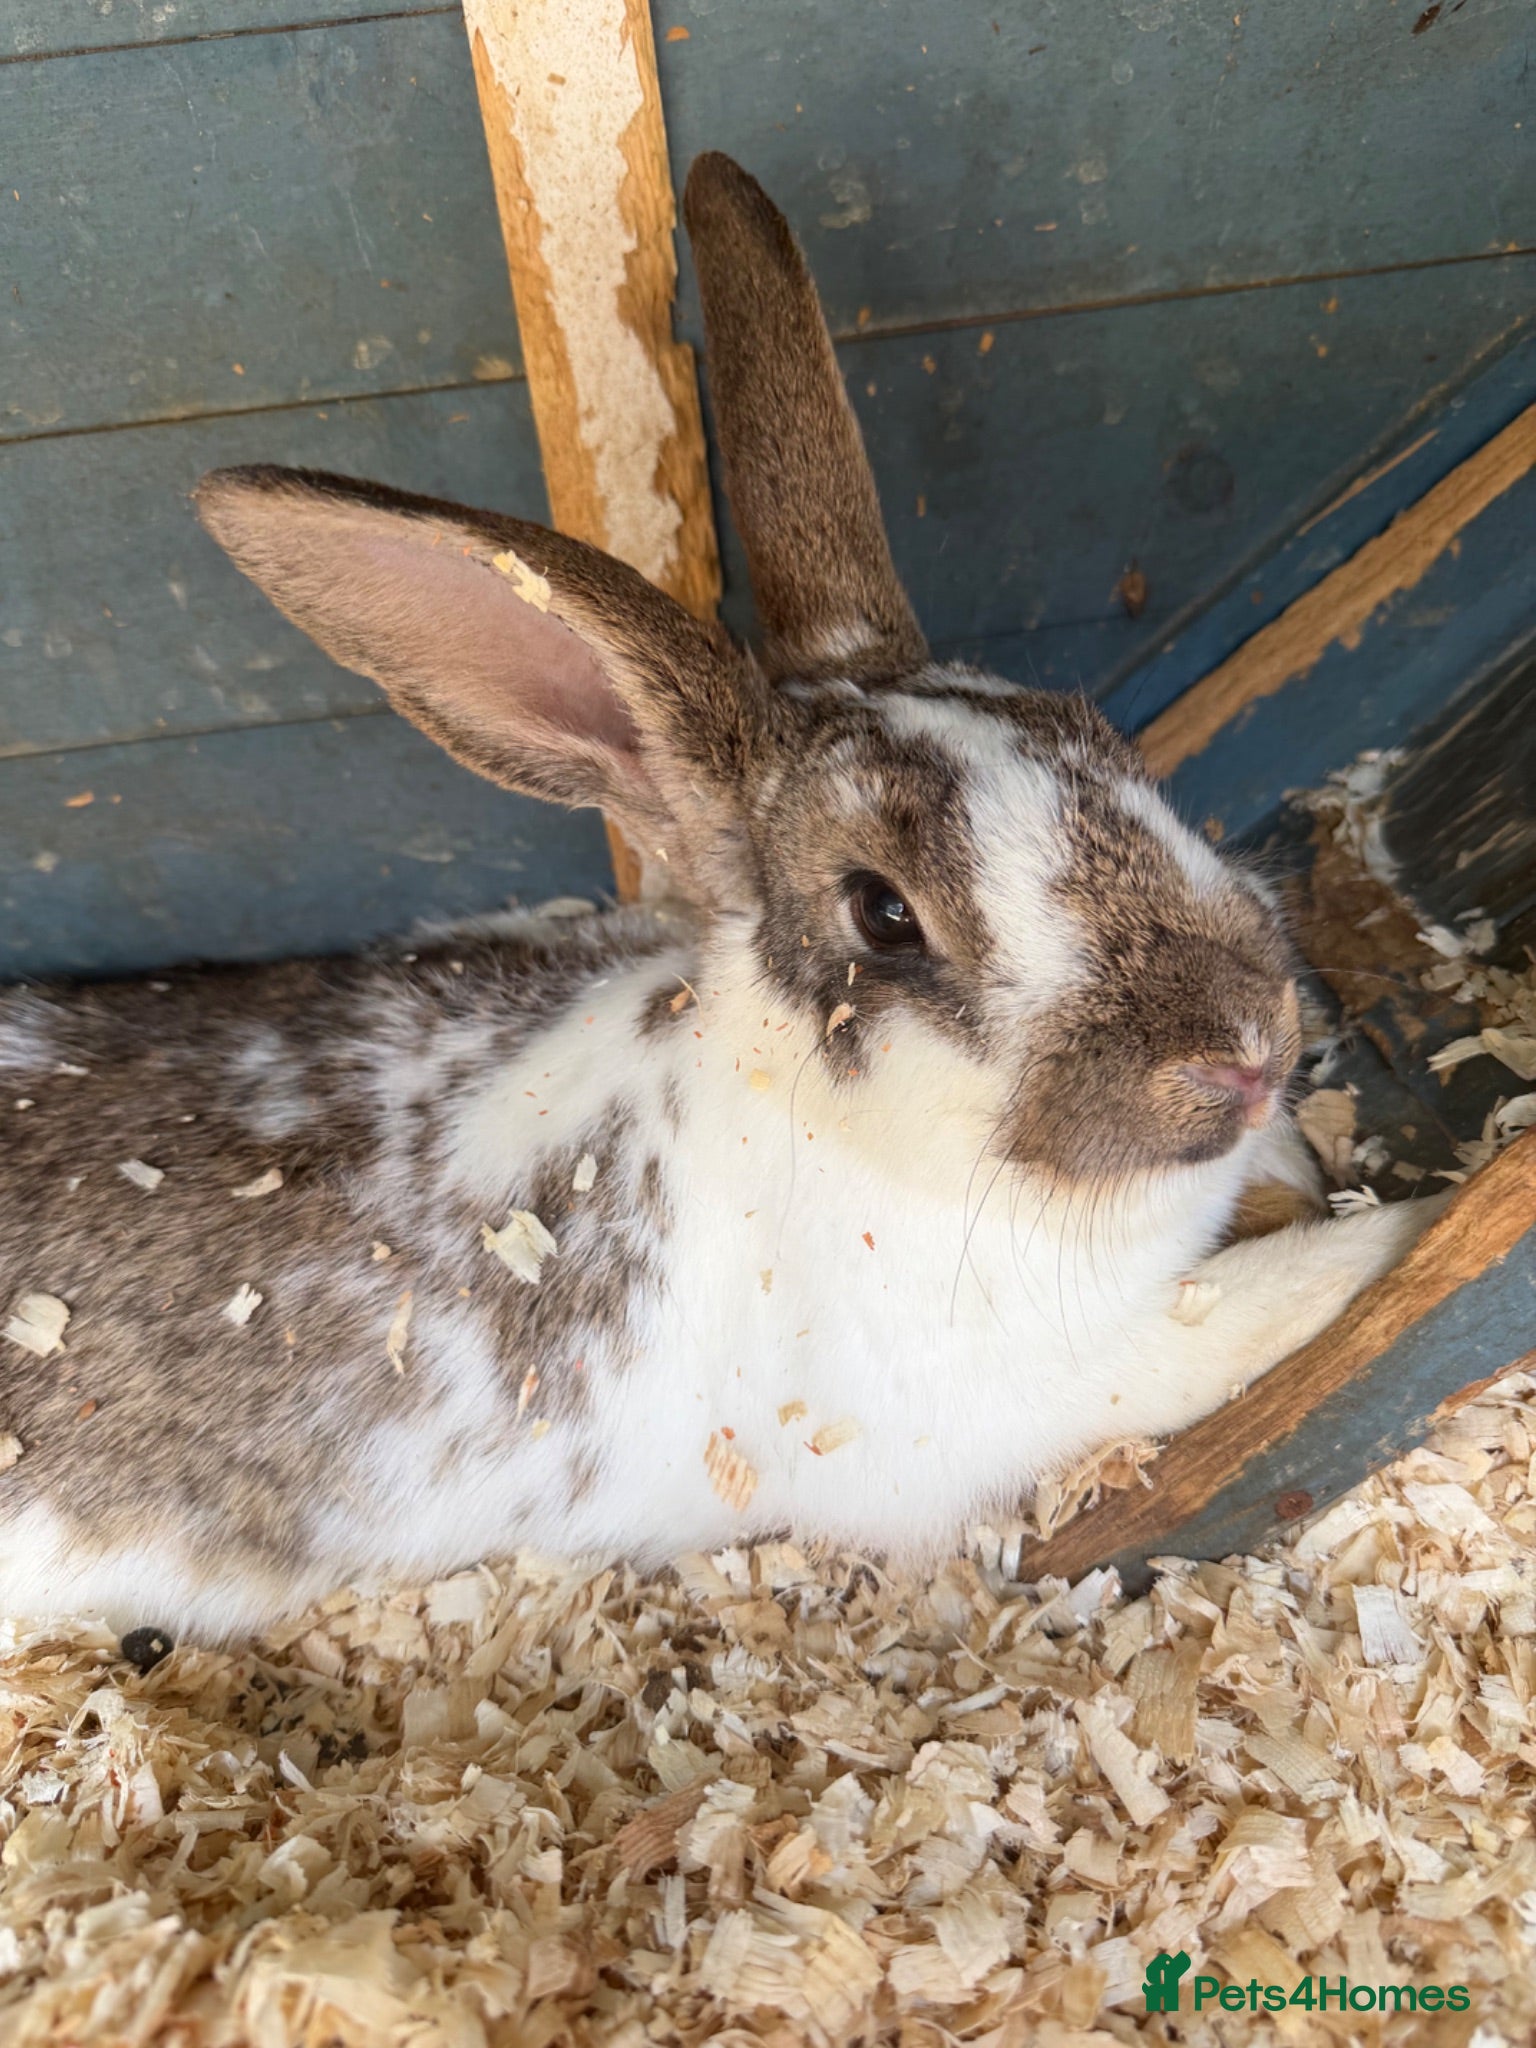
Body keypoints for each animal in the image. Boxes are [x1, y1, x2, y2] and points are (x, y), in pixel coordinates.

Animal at [0, 153, 1443, 1644]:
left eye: (1105, 739)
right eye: (881, 912)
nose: (1246, 1048)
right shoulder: (1049, 1380)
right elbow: (1244, 1315)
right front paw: (1405, 1237)